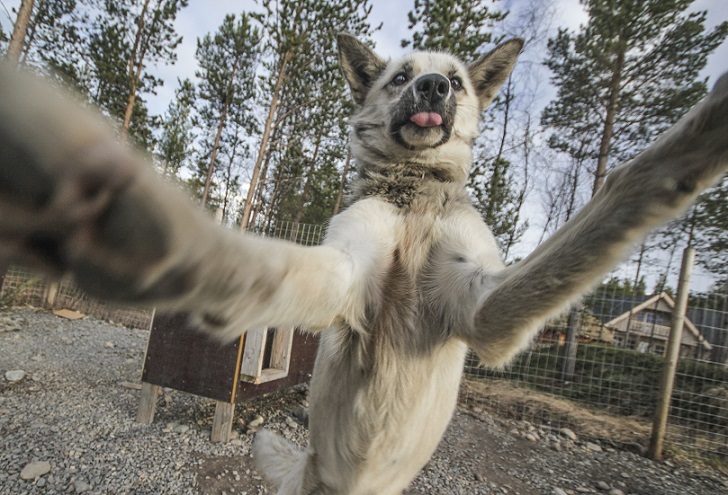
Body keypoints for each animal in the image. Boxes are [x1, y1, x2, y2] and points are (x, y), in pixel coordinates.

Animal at [1, 33, 728, 494]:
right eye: (399, 77)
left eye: (455, 80)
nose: (433, 86)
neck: (412, 199)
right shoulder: (345, 270)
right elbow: (271, 265)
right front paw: (139, 232)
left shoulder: (483, 309)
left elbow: (594, 221)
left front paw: (693, 144)